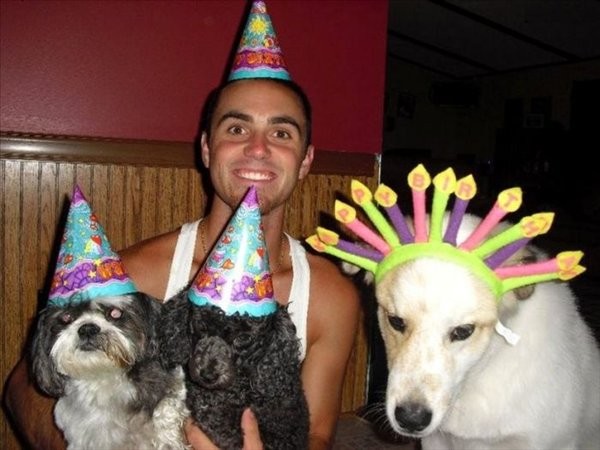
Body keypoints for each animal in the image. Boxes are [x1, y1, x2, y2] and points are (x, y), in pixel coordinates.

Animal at [30, 293, 189, 450]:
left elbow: (166, 407)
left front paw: (168, 440)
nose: (87, 328)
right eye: (66, 317)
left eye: (115, 313)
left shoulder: (171, 382)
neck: (102, 376)